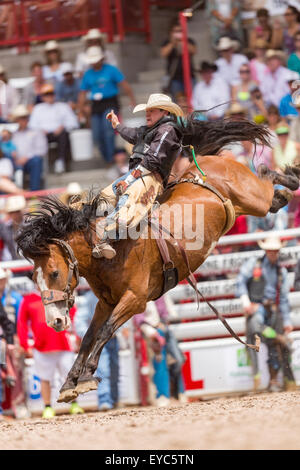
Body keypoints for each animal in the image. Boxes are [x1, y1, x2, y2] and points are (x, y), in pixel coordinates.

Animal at [16, 115, 300, 402]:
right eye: (33, 278)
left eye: (54, 273)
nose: (55, 322)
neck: (109, 252)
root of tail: (208, 161)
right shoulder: (106, 303)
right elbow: (88, 336)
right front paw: (68, 384)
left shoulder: (135, 299)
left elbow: (106, 330)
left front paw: (85, 377)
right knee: (273, 196)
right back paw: (286, 189)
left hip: (254, 199)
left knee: (265, 176)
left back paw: (290, 175)